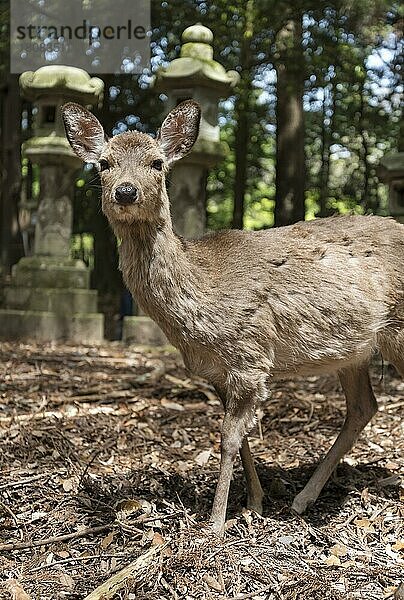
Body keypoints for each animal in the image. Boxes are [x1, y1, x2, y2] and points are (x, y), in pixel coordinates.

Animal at [61, 99, 402, 536]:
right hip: (354, 352)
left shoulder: (250, 356)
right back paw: (303, 498)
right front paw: (254, 502)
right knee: (363, 407)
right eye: (103, 163)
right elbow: (241, 439)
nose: (125, 191)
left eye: (157, 163)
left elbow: (227, 438)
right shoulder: (218, 371)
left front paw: (215, 523)